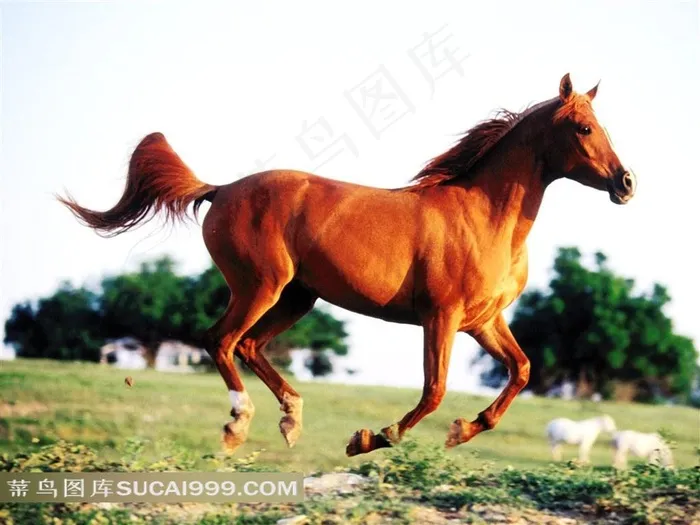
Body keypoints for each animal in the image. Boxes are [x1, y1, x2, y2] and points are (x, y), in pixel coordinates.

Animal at [58, 73, 636, 457]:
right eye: (584, 128)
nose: (626, 183)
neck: (484, 216)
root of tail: (220, 190)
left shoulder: (484, 321)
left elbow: (521, 370)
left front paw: (462, 430)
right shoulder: (442, 317)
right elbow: (434, 390)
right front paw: (372, 438)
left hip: (298, 296)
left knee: (249, 345)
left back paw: (291, 421)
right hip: (260, 286)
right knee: (220, 340)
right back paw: (239, 426)